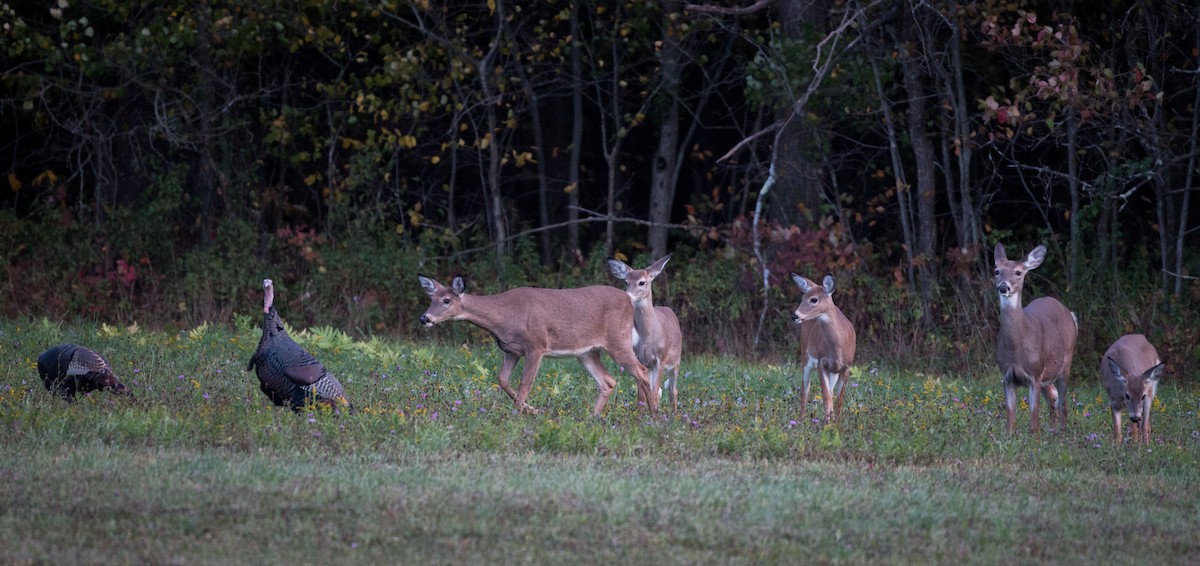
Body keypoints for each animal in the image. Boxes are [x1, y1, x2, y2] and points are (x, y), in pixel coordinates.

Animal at [415, 274, 657, 414]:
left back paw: (653, 412)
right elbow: (502, 380)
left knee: (642, 371)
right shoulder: (510, 350)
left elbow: (525, 384)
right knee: (608, 381)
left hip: (618, 340)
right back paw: (594, 416)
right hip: (586, 352)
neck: (505, 316)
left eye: (446, 300)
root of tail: (628, 300)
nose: (424, 318)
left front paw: (520, 414)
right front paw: (531, 409)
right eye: (431, 299)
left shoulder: (537, 345)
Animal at [609, 256, 686, 410]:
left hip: (676, 362)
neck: (649, 337)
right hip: (650, 367)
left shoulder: (661, 359)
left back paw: (674, 414)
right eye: (626, 281)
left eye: (641, 282)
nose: (628, 296)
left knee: (673, 390)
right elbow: (641, 396)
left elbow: (655, 393)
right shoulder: (641, 359)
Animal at [792, 272, 859, 422]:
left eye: (814, 299)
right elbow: (826, 397)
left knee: (830, 392)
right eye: (802, 297)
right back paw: (800, 421)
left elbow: (838, 400)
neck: (838, 349)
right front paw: (827, 423)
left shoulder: (846, 367)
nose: (795, 316)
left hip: (833, 371)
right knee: (804, 391)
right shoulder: (821, 362)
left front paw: (837, 423)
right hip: (806, 356)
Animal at [993, 242, 1080, 434]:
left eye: (1018, 272)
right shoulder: (1007, 376)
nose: (1003, 287)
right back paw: (1052, 430)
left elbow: (1034, 418)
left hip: (1065, 363)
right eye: (997, 271)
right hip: (1048, 373)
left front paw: (1035, 438)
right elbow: (1010, 419)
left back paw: (1061, 432)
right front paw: (1009, 436)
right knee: (1053, 397)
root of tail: (1070, 313)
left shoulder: (1034, 374)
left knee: (1063, 402)